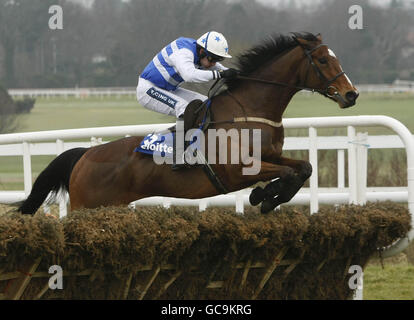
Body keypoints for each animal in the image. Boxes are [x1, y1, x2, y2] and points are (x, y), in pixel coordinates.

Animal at [17, 32, 358, 216]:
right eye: (324, 60)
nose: (351, 94)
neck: (249, 109)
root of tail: (84, 155)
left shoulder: (270, 156)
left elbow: (303, 168)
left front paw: (269, 198)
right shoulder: (238, 170)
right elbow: (287, 173)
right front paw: (262, 197)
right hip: (86, 206)